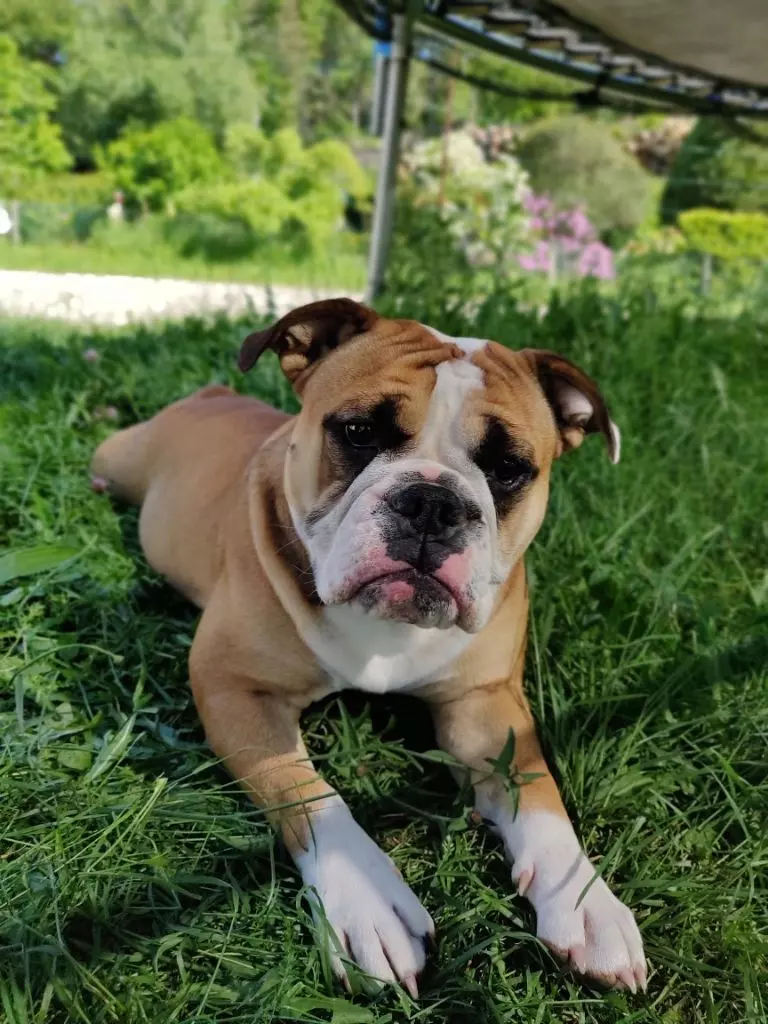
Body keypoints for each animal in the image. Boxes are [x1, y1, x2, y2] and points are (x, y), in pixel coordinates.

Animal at [94, 299, 651, 999]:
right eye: (358, 431)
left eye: (508, 469)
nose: (433, 502)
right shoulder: (233, 685)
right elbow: (304, 788)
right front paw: (366, 898)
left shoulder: (485, 705)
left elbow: (537, 784)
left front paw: (585, 899)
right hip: (122, 460)